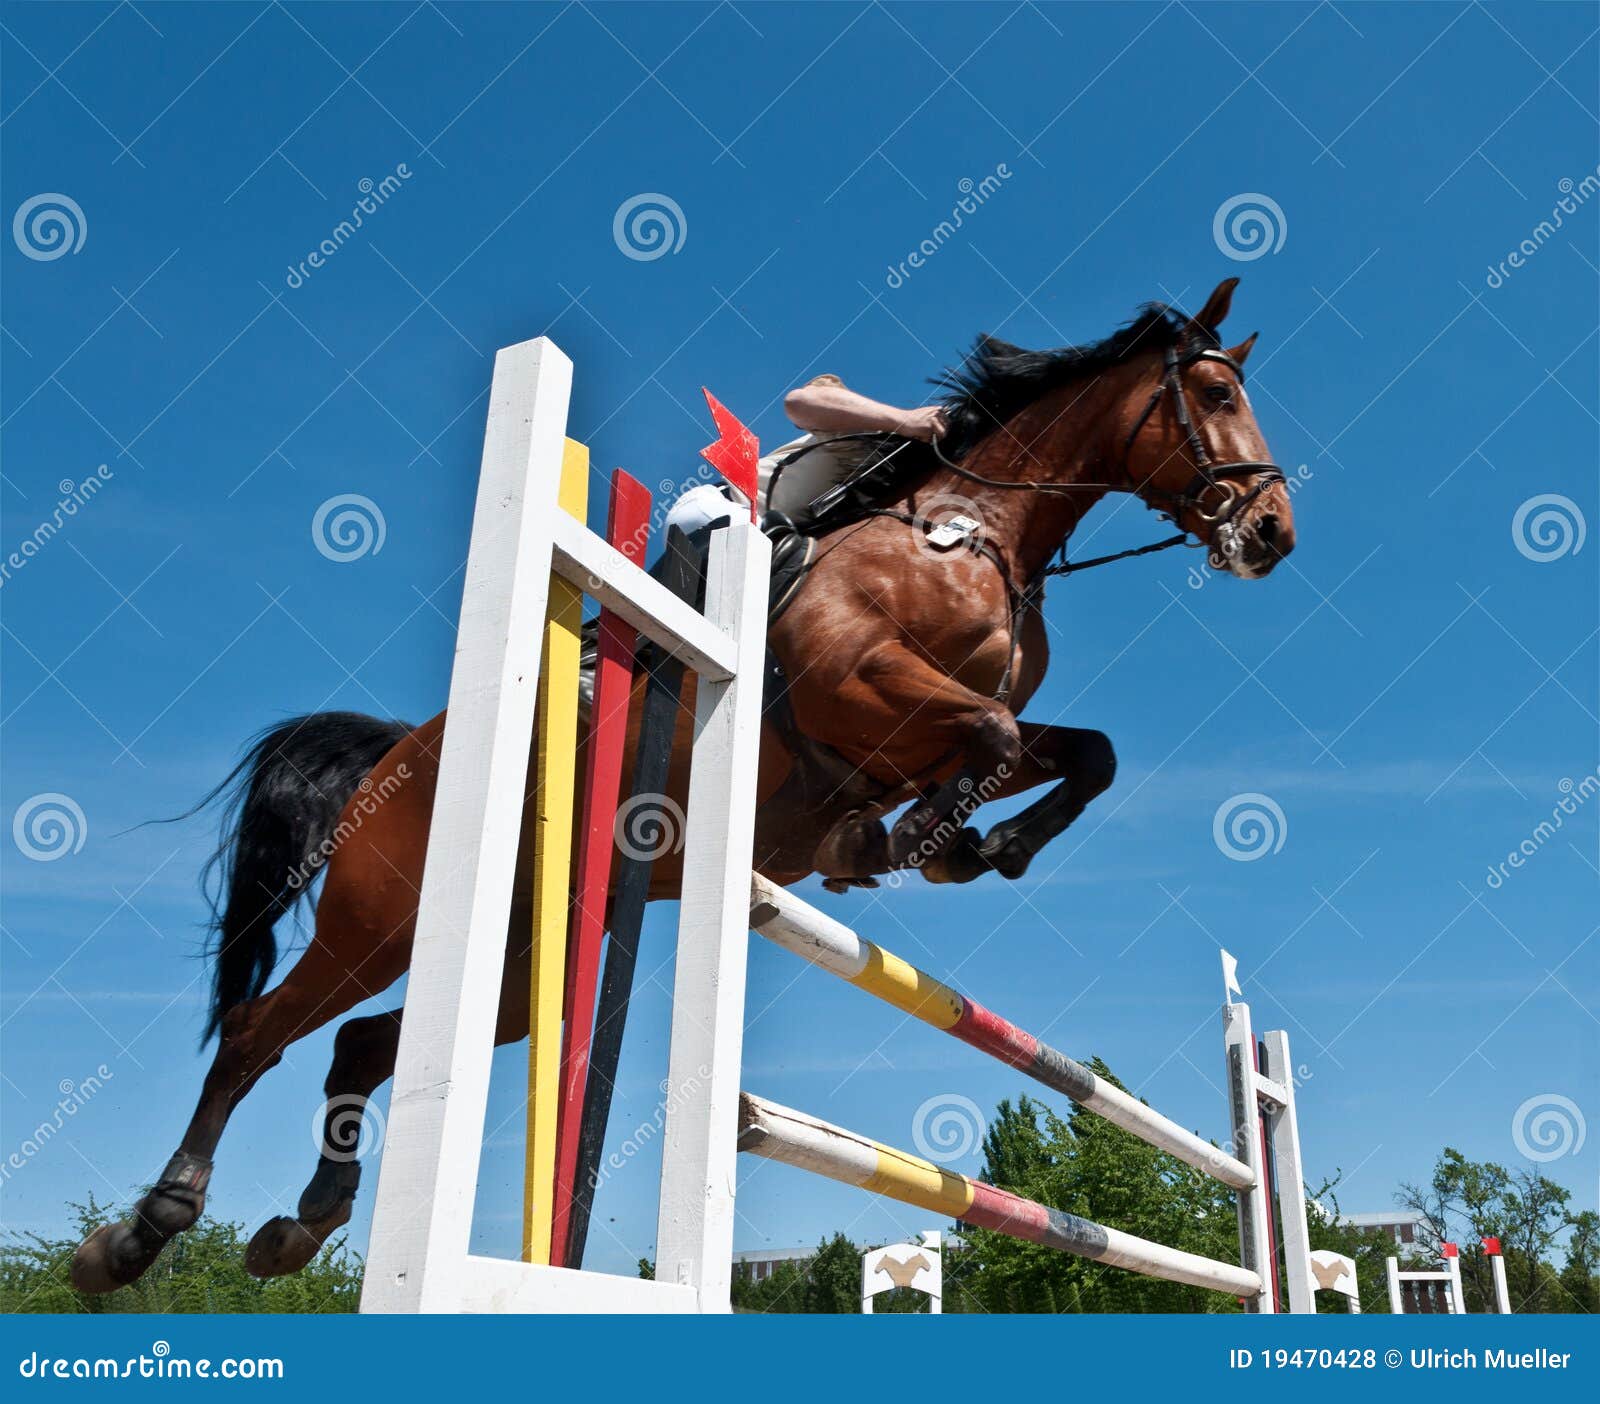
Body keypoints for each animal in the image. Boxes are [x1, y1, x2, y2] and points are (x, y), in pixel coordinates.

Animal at [71, 276, 1297, 1293]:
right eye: (1215, 389)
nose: (1275, 530)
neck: (978, 533)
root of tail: (401, 750)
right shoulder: (858, 686)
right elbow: (988, 731)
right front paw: (898, 842)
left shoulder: (946, 723)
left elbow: (1080, 750)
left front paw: (975, 845)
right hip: (382, 919)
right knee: (257, 1033)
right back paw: (140, 1234)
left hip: (522, 953)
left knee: (363, 1047)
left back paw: (301, 1225)